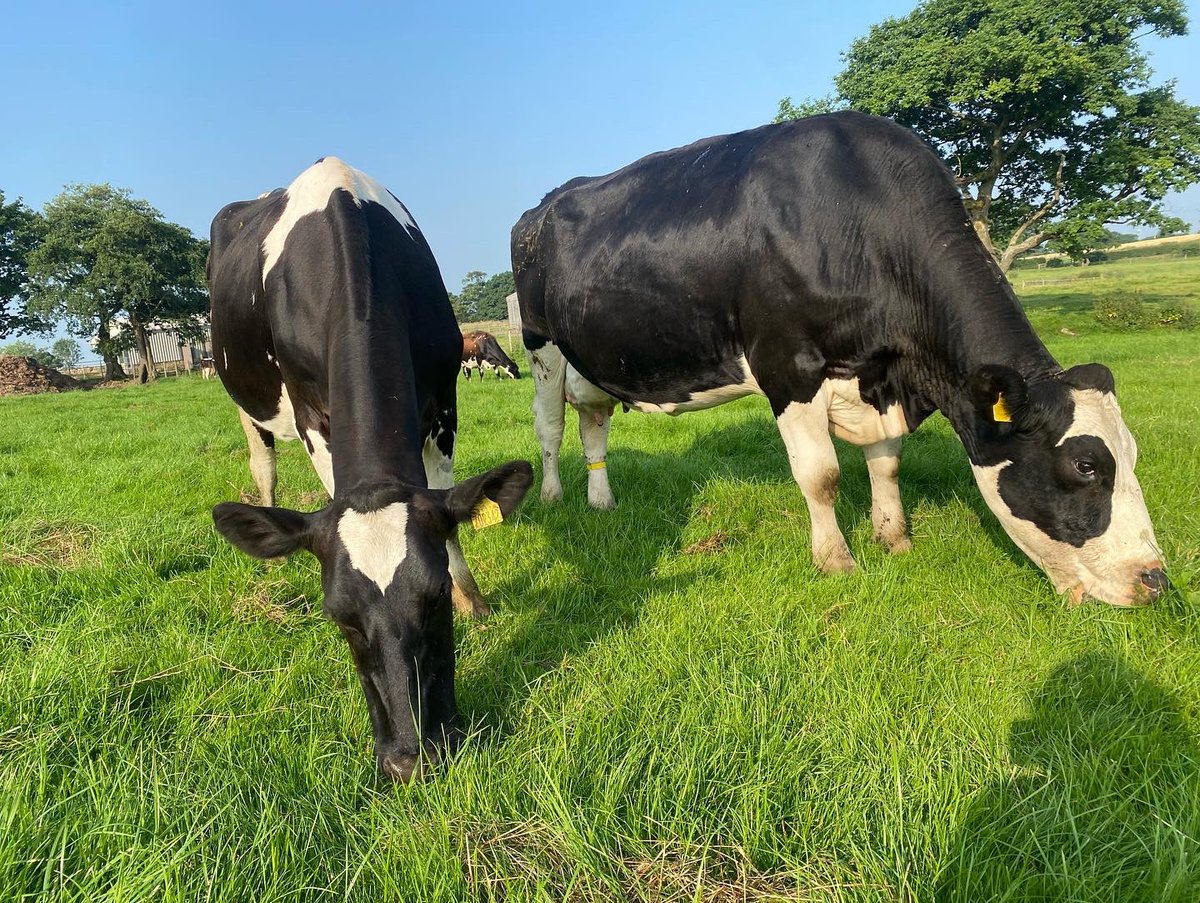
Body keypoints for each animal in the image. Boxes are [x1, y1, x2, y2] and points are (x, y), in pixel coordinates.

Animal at [208, 158, 532, 778]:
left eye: (434, 598)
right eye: (338, 617)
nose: (412, 759)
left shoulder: (444, 400)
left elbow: (451, 516)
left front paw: (474, 601)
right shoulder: (312, 417)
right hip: (242, 396)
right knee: (263, 466)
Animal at [511, 111, 1166, 607]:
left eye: (1132, 455)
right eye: (1086, 466)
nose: (1155, 580)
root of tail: (542, 205)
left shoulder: (880, 375)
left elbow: (887, 464)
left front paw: (893, 538)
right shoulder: (787, 365)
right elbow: (821, 475)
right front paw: (835, 561)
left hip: (593, 359)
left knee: (594, 420)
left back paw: (602, 501)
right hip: (541, 345)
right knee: (551, 428)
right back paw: (553, 497)